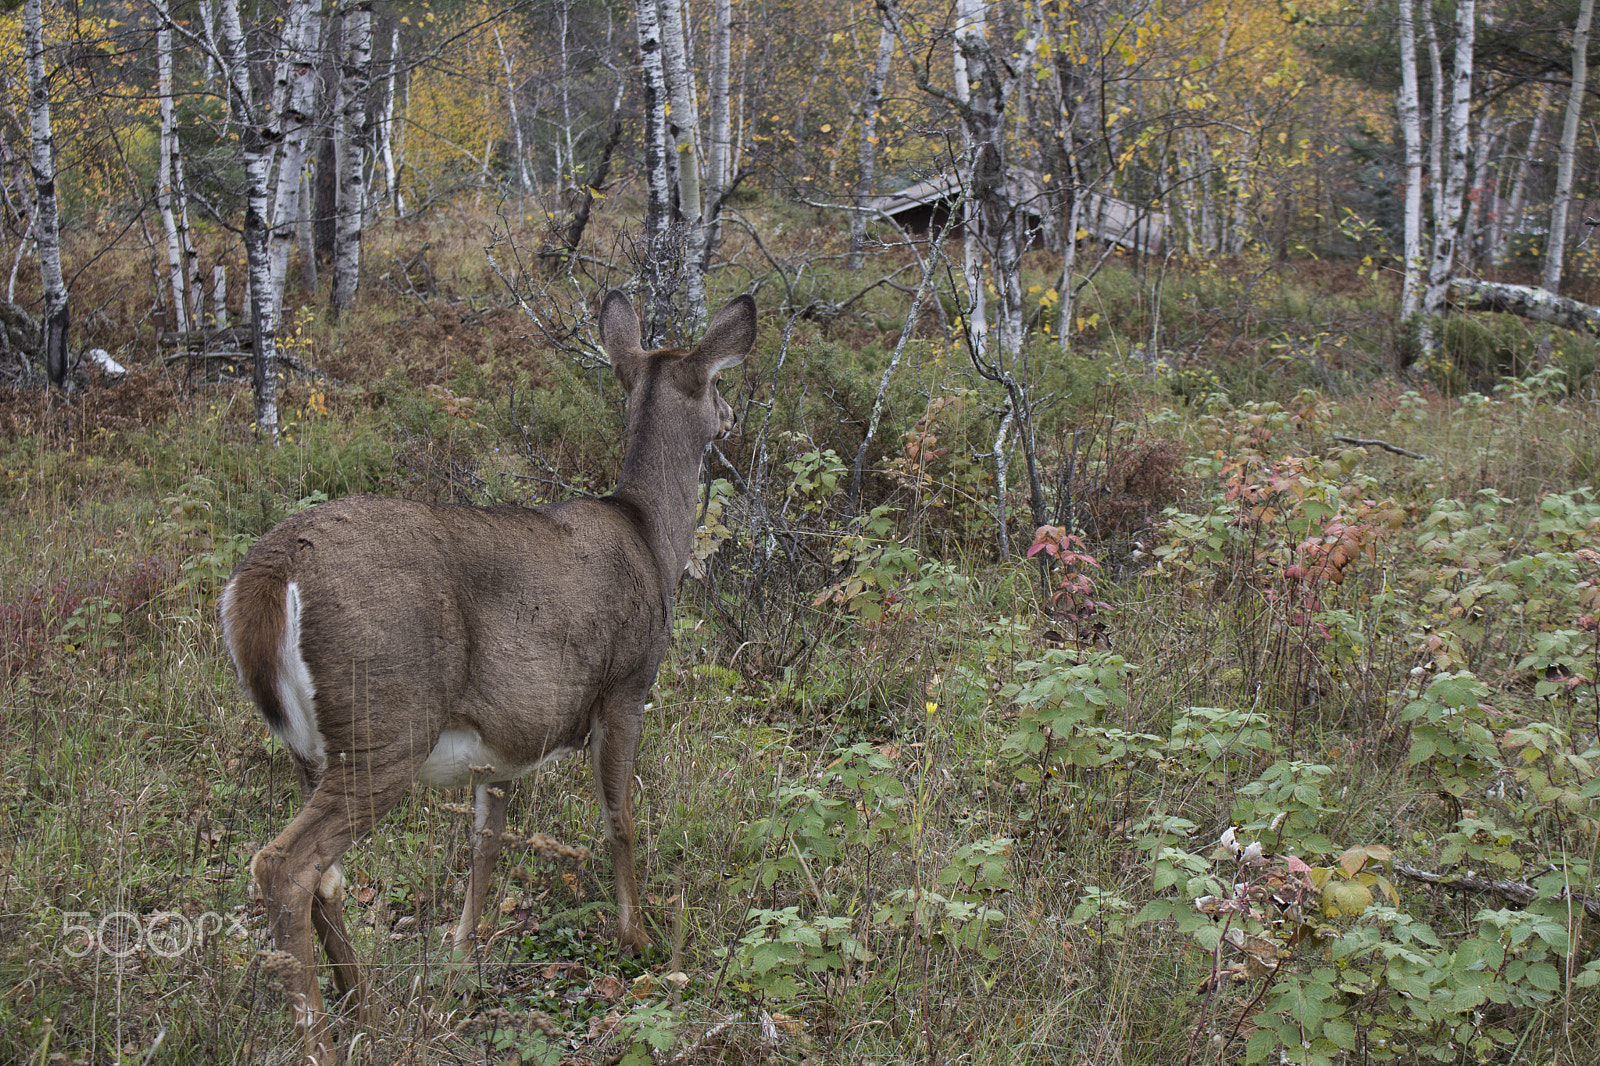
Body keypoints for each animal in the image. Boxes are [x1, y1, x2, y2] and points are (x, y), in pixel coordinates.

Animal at [219, 289, 757, 1061]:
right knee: (285, 865)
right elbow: (620, 818)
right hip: (386, 722)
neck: (652, 537)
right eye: (716, 382)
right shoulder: (627, 685)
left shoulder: (503, 742)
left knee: (323, 877)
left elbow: (485, 842)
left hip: (308, 745)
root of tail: (266, 575)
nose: (734, 418)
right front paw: (640, 938)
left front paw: (460, 951)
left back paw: (361, 1007)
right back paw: (319, 1036)